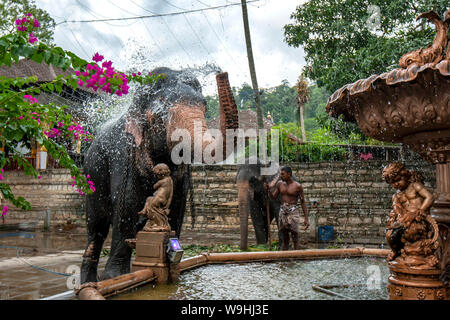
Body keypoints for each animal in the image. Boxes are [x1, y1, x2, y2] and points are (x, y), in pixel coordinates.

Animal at [81, 67, 237, 282]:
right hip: (92, 174)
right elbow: (126, 204)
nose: (221, 73)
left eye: (205, 107)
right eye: (162, 112)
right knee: (97, 226)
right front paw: (114, 277)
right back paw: (88, 283)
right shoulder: (122, 154)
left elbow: (177, 206)